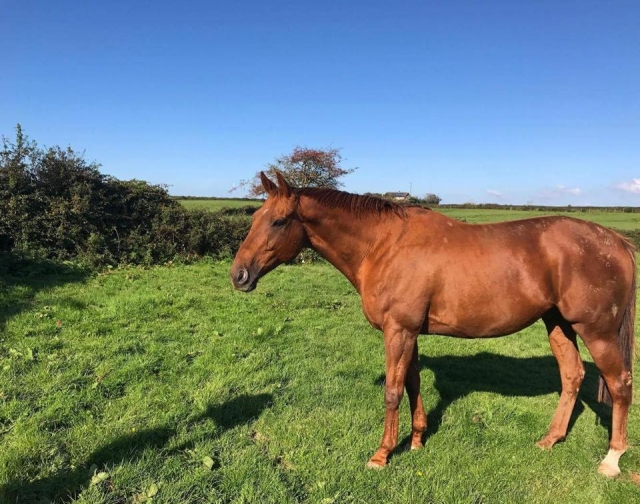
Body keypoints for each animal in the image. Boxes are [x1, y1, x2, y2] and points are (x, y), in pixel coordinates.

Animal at [231, 171, 636, 477]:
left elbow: (393, 391)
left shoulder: (398, 331)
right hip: (558, 323)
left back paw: (612, 460)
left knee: (619, 384)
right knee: (572, 376)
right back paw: (550, 439)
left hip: (597, 332)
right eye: (254, 218)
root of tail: (615, 240)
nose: (239, 275)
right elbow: (412, 383)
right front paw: (416, 440)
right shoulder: (409, 332)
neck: (383, 244)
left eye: (278, 221)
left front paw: (381, 454)